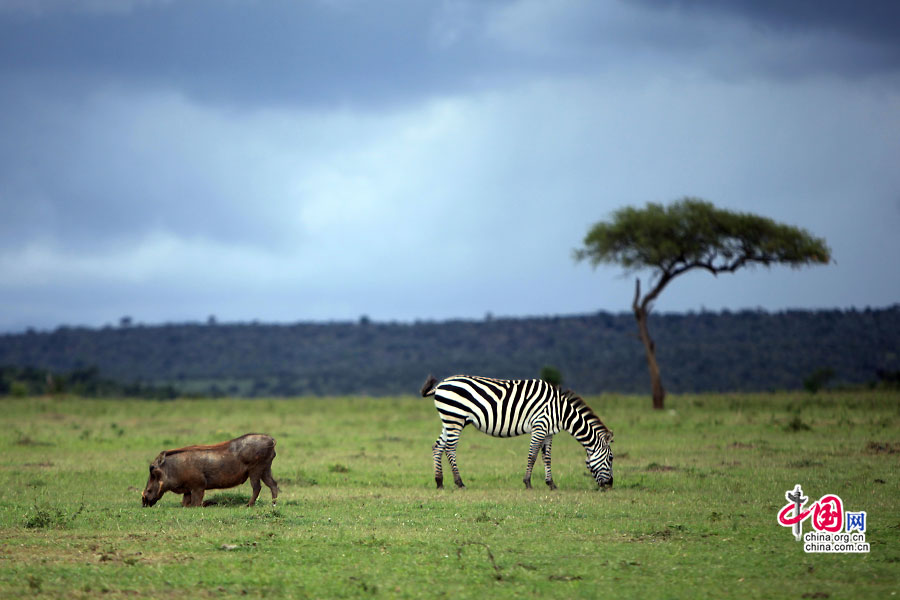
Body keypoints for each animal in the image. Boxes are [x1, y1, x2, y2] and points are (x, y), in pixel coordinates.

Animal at [420, 376, 616, 492]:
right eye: (611, 458)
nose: (610, 485)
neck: (561, 412)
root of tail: (440, 385)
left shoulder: (549, 432)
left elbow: (547, 458)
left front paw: (551, 484)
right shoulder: (540, 427)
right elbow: (532, 456)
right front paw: (528, 483)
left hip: (450, 420)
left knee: (437, 446)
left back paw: (439, 482)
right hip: (455, 418)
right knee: (450, 449)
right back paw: (459, 482)